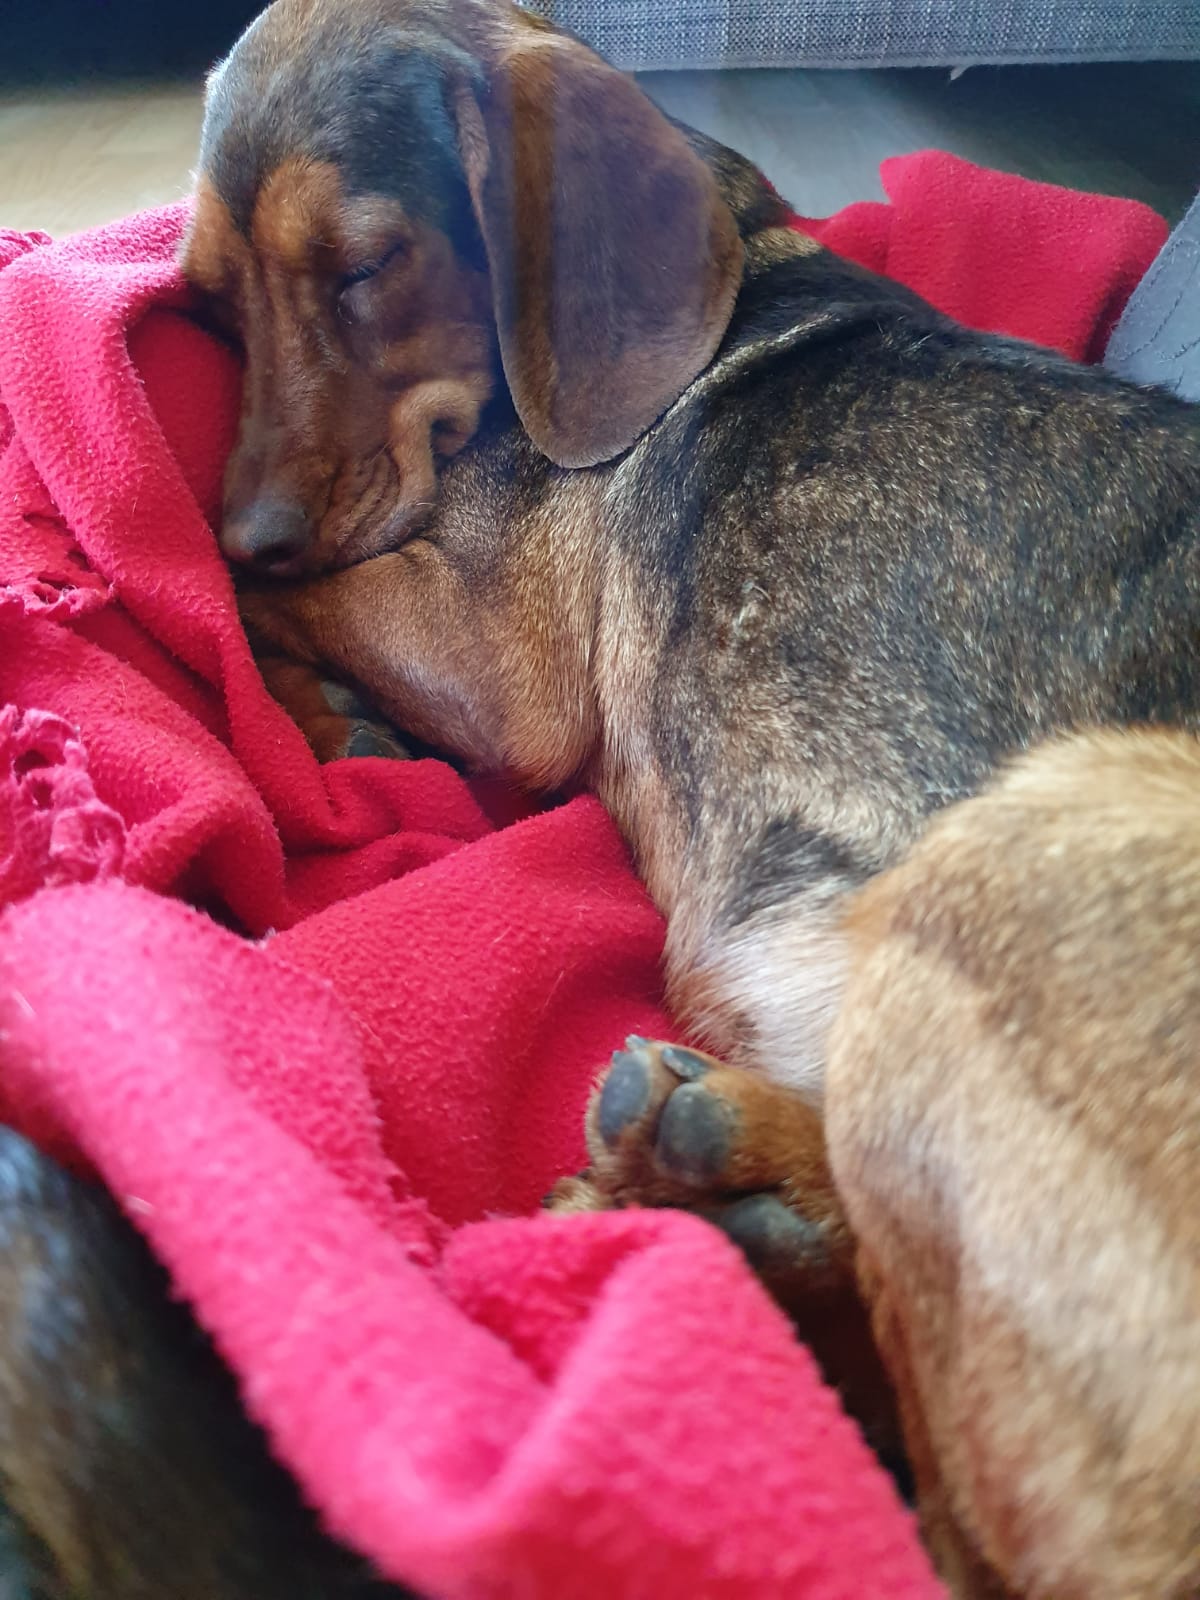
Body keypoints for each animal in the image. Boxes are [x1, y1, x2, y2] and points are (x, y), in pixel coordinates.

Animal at [0, 0, 1197, 1593]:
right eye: (204, 302)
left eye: (367, 269)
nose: (235, 526)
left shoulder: (495, 655)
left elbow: (296, 605)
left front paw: (299, 681)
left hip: (1031, 829)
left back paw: (718, 1191)